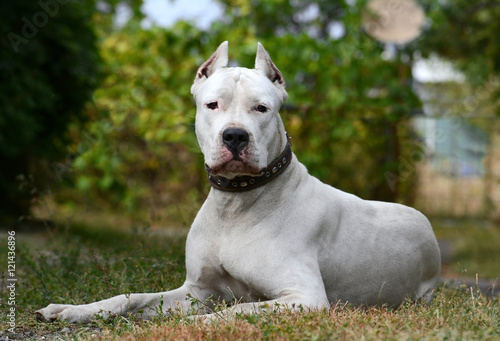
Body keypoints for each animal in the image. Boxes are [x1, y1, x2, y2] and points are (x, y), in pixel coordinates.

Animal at [37, 41, 440, 322]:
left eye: (262, 108)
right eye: (212, 105)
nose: (234, 136)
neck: (237, 203)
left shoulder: (304, 298)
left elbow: (233, 312)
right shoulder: (196, 290)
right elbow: (132, 296)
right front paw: (73, 309)